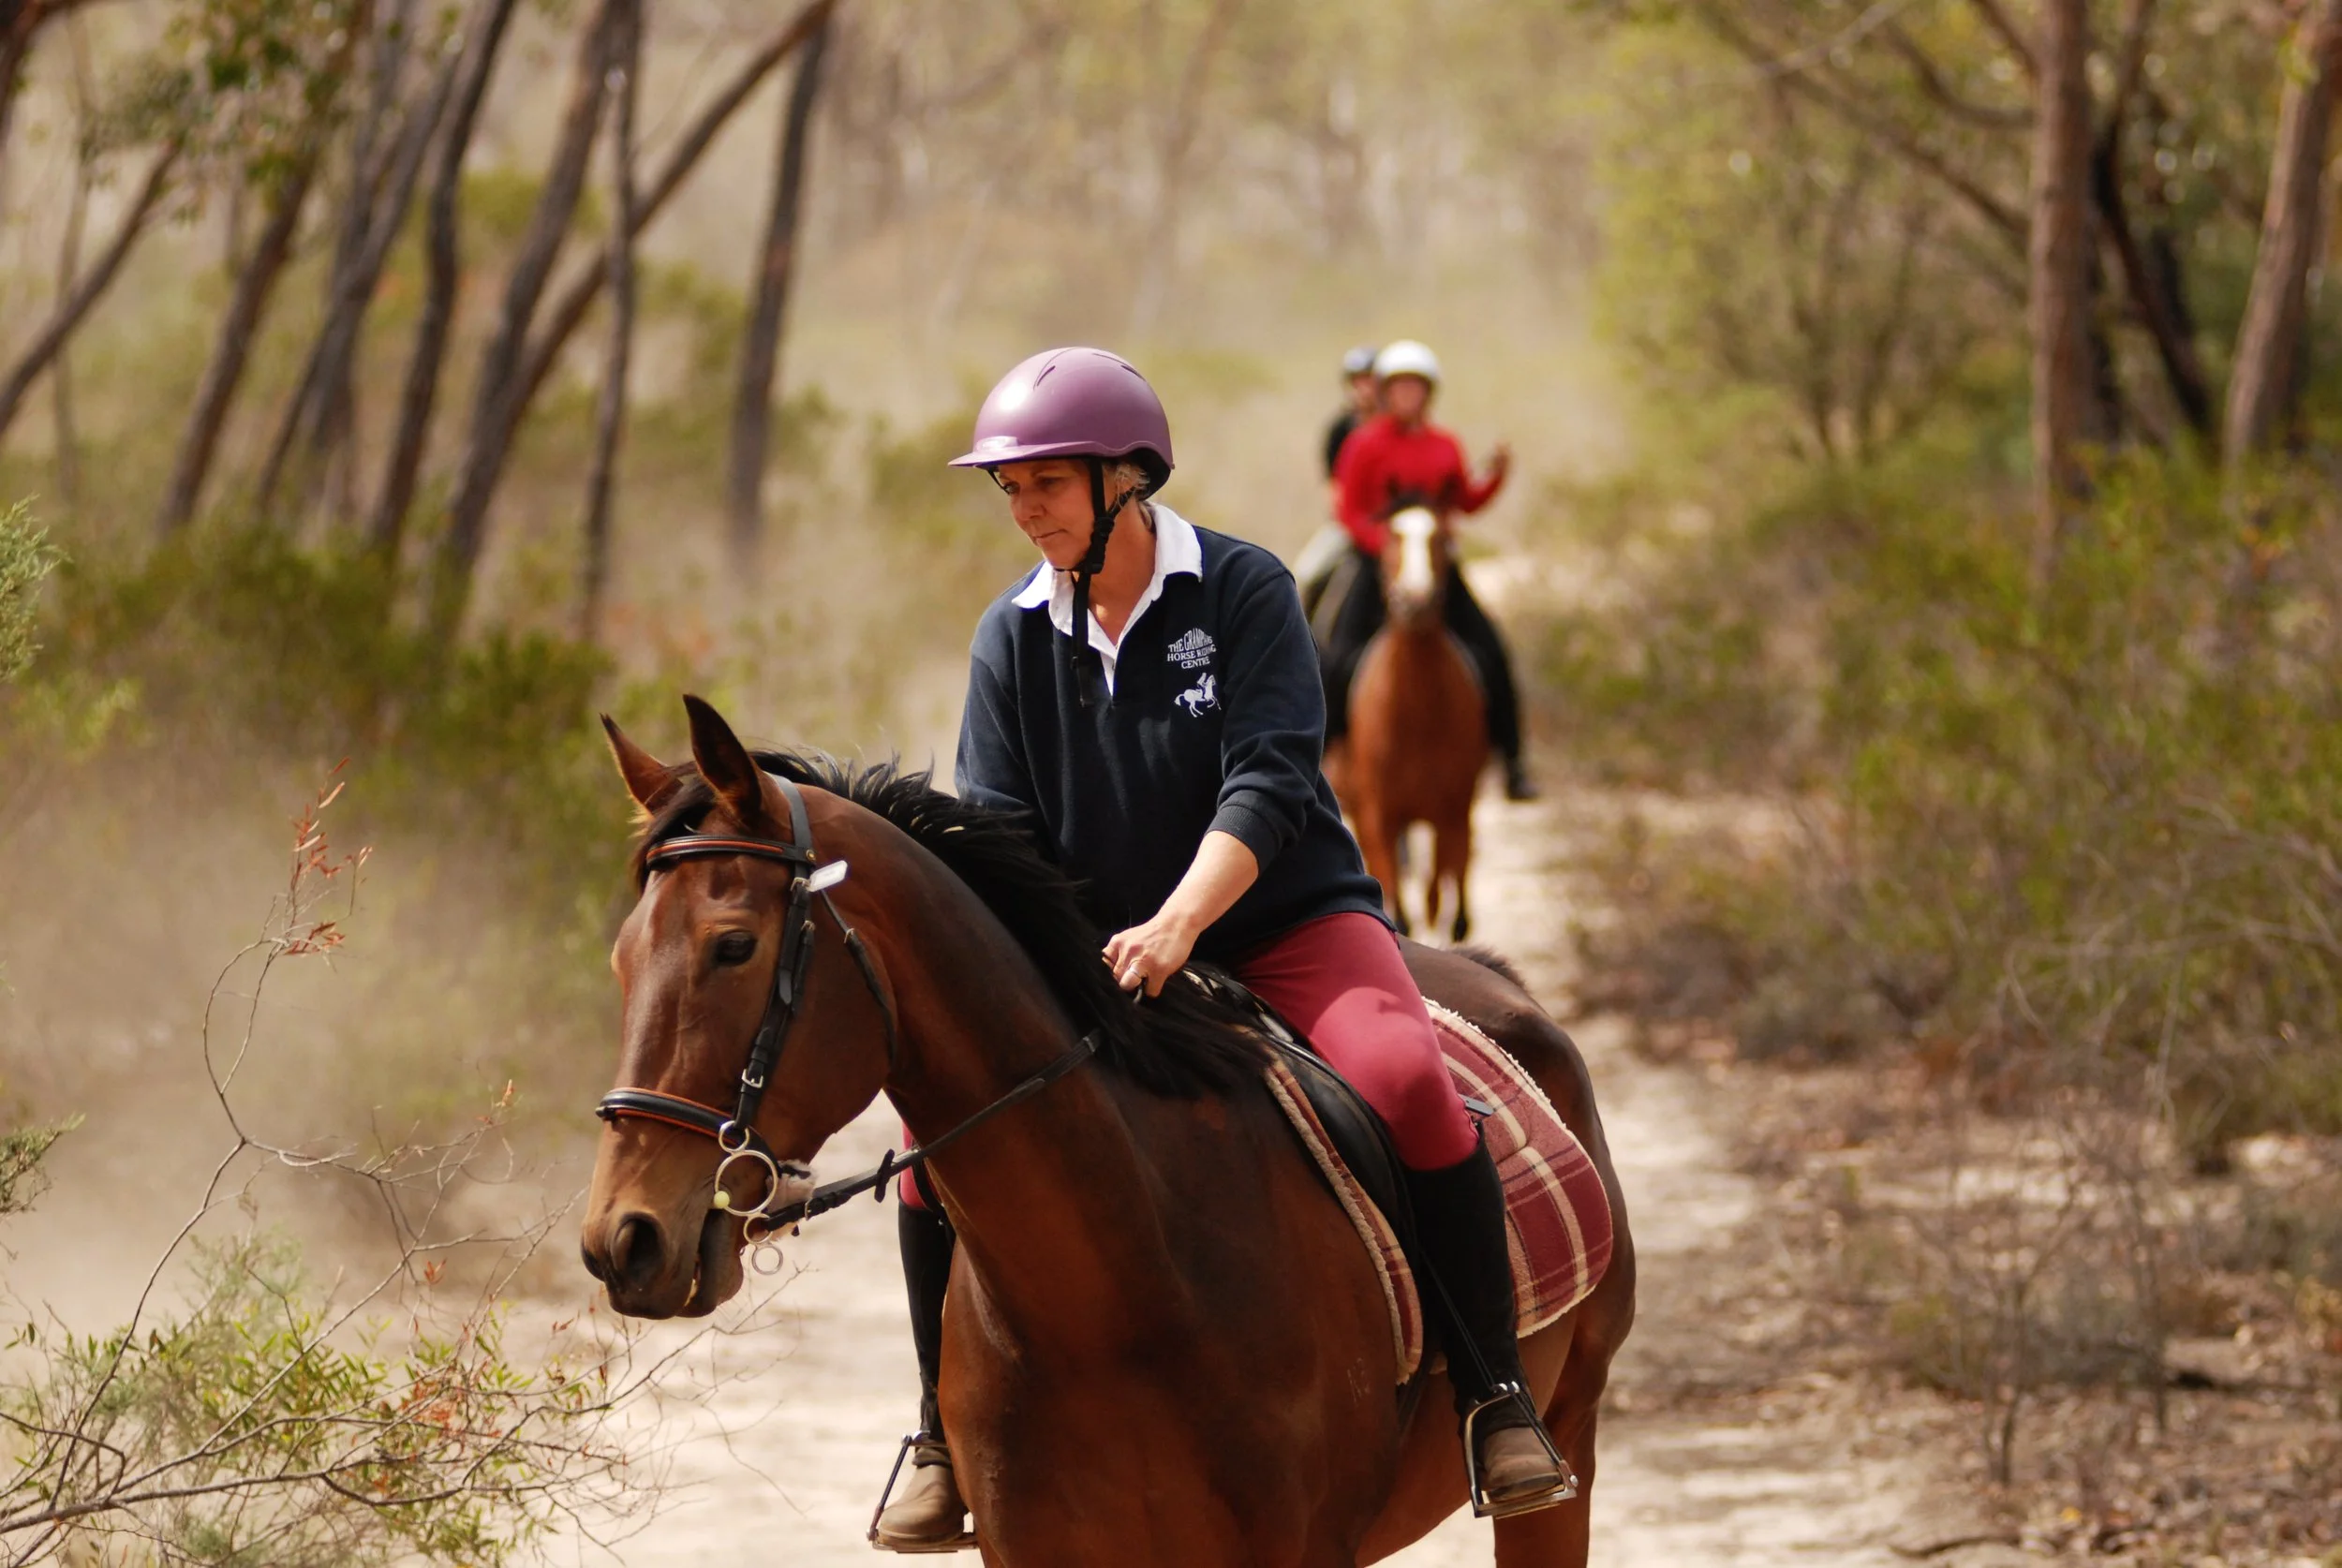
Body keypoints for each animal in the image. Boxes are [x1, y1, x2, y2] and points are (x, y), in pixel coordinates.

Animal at [580, 695, 1635, 1567]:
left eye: (733, 946)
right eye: (621, 958)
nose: (623, 1241)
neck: (1121, 1283)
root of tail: (1498, 981)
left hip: (1571, 1440)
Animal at [1333, 507, 1489, 942]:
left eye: (1441, 538)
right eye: (1390, 538)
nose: (1416, 601)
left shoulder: (1453, 811)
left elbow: (1448, 895)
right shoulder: (1380, 815)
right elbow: (1398, 905)